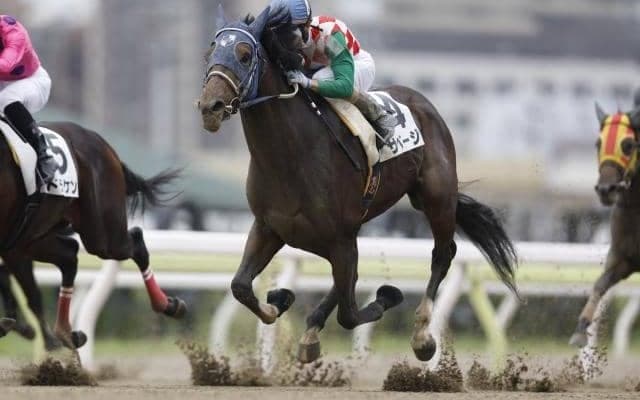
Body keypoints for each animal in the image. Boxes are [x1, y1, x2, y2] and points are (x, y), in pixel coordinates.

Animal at [0, 119, 186, 349]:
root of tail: (100, 141)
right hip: (30, 238)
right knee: (69, 254)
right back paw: (63, 332)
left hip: (102, 235)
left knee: (135, 241)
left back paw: (168, 305)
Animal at [197, 7, 517, 363]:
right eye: (211, 53)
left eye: (244, 54)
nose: (209, 107)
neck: (290, 157)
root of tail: (423, 102)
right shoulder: (270, 227)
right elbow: (240, 286)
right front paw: (280, 299)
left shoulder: (340, 237)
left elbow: (350, 314)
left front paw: (389, 295)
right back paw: (311, 330)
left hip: (436, 198)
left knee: (443, 254)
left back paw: (422, 336)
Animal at [570, 104, 640, 347]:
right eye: (598, 143)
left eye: (628, 145)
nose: (605, 190)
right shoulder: (624, 258)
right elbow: (601, 283)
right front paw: (580, 330)